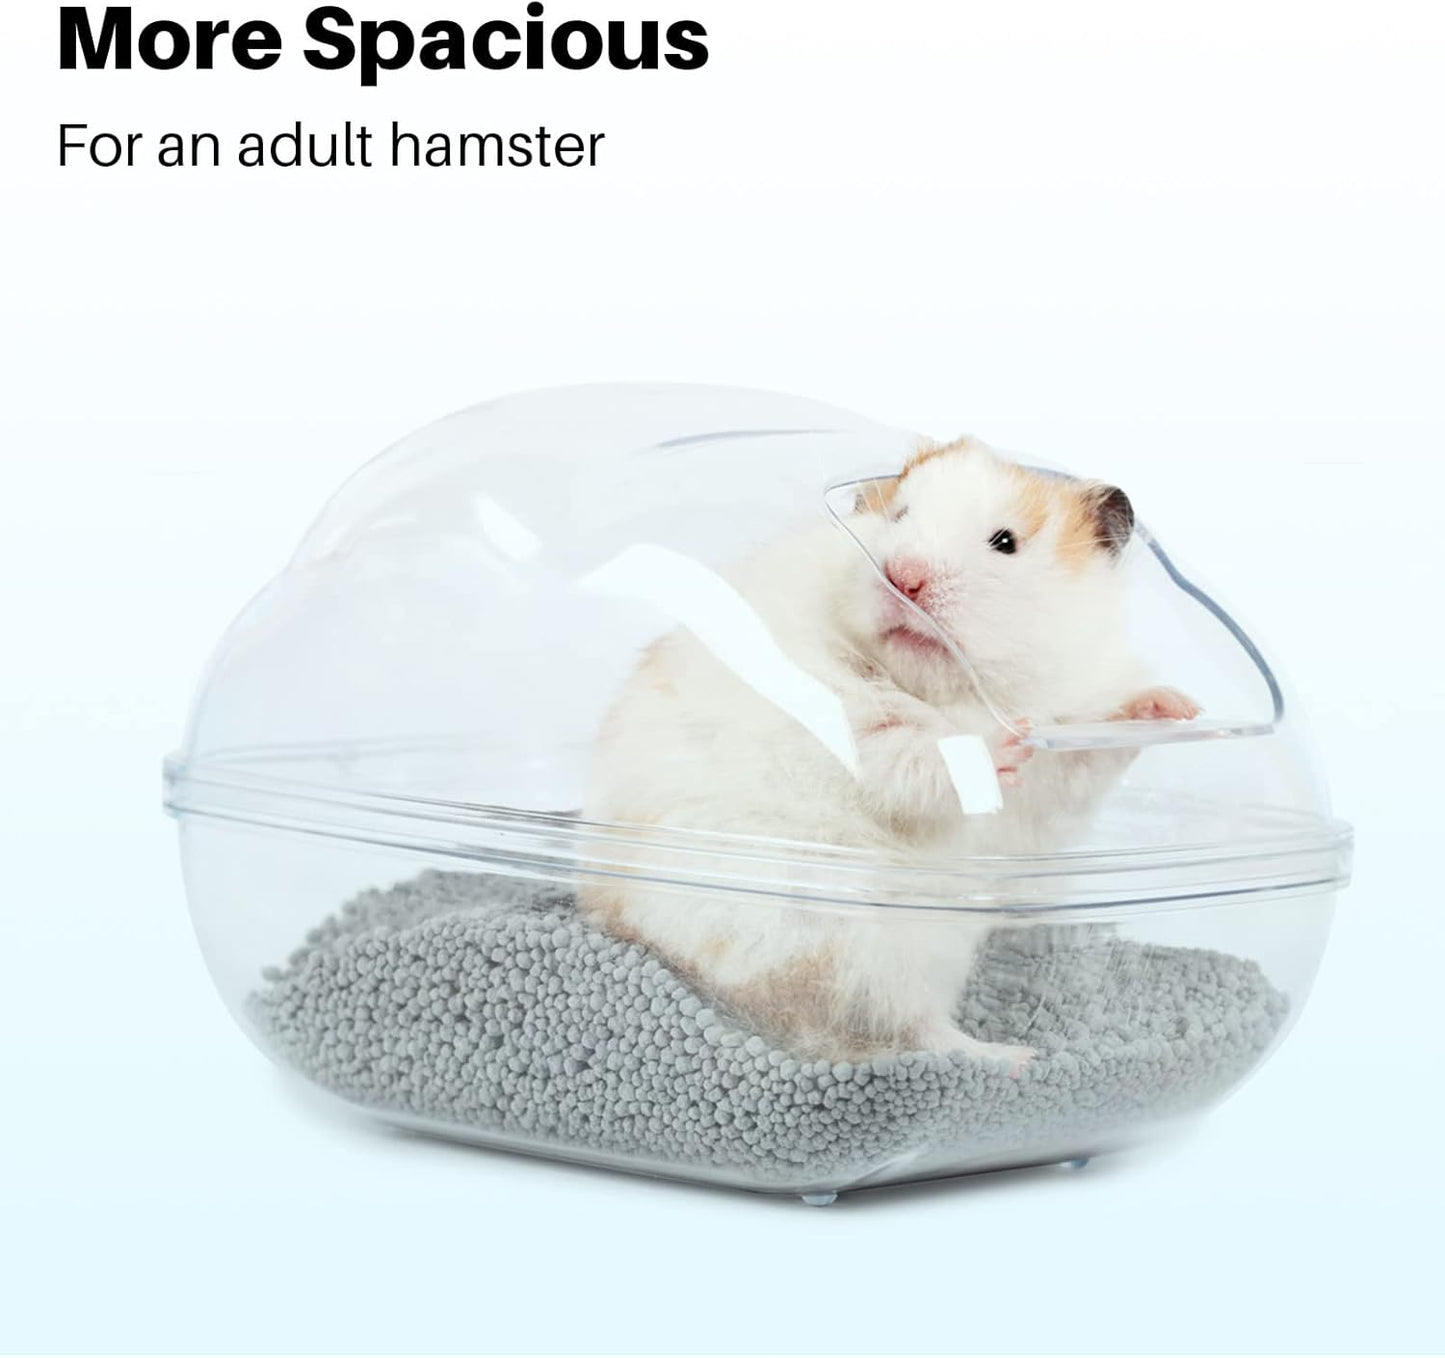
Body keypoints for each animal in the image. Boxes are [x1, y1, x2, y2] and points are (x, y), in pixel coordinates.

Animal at [580, 437, 1199, 1070]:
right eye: (898, 516)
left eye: (1005, 542)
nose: (904, 577)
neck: (948, 689)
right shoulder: (858, 722)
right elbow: (919, 758)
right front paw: (1002, 743)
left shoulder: (1058, 772)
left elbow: (1085, 755)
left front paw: (1174, 707)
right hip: (857, 943)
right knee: (914, 1029)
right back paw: (1014, 1057)